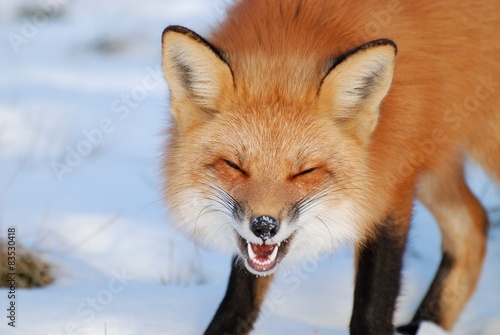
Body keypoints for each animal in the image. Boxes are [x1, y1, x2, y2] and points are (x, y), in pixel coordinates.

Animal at [160, 1, 500, 334]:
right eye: (234, 165)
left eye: (305, 171)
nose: (265, 227)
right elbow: (240, 300)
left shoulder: (389, 185)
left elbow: (372, 308)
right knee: (474, 225)